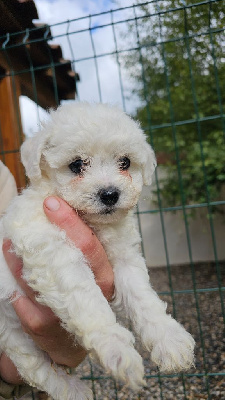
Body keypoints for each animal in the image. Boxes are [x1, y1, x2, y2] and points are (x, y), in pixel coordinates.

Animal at [0, 104, 194, 400]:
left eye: (125, 162)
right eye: (77, 165)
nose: (110, 194)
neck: (91, 223)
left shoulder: (125, 258)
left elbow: (143, 297)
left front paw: (169, 339)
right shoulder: (52, 250)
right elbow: (86, 296)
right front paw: (116, 348)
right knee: (34, 367)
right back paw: (74, 390)